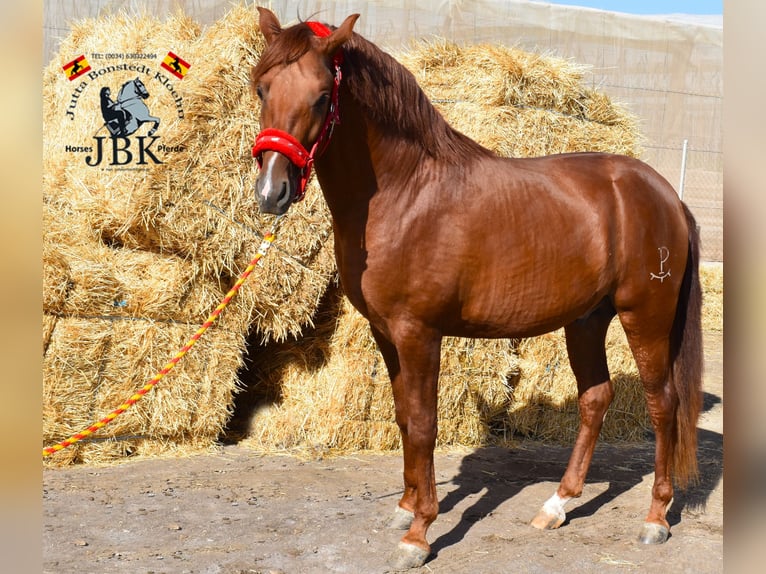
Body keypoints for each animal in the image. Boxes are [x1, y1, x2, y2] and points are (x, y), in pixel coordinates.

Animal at [250, 9, 704, 572]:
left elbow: (424, 424)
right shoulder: (385, 333)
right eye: (262, 87)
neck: (406, 193)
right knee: (596, 398)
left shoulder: (419, 333)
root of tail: (664, 194)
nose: (271, 192)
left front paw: (419, 533)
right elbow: (404, 419)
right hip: (586, 320)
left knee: (663, 405)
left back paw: (655, 518)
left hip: (645, 316)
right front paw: (405, 508)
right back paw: (557, 505)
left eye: (319, 96)